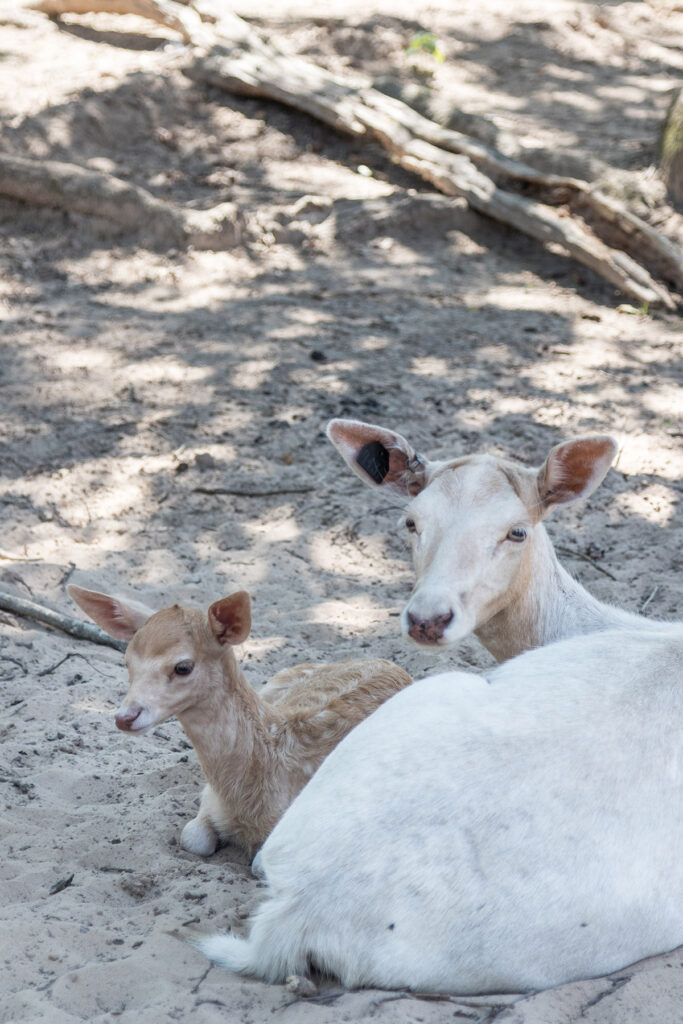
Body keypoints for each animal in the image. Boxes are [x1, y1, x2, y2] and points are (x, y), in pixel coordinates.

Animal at [68, 585, 411, 856]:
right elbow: (192, 838)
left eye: (183, 667)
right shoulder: (210, 803)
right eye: (127, 661)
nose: (125, 717)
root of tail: (388, 662)